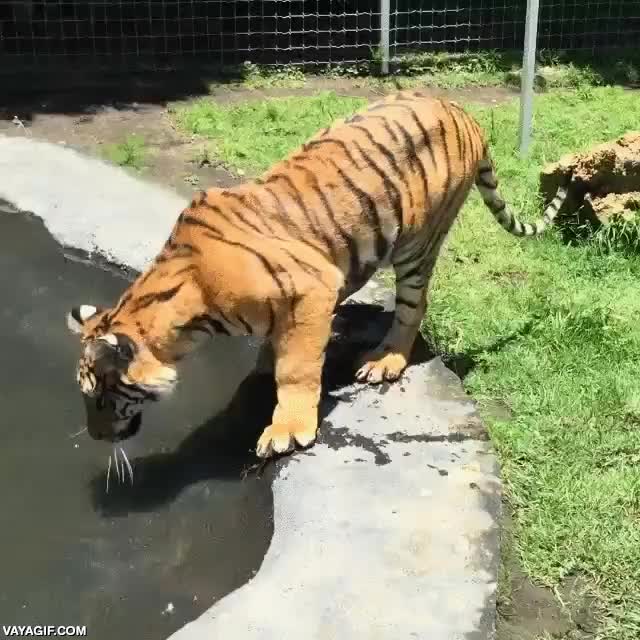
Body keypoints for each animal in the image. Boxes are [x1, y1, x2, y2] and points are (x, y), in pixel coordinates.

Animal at [67, 91, 568, 459]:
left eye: (102, 397)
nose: (96, 437)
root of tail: (461, 110)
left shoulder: (313, 288)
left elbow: (298, 368)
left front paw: (287, 428)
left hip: (417, 242)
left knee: (414, 304)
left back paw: (385, 360)